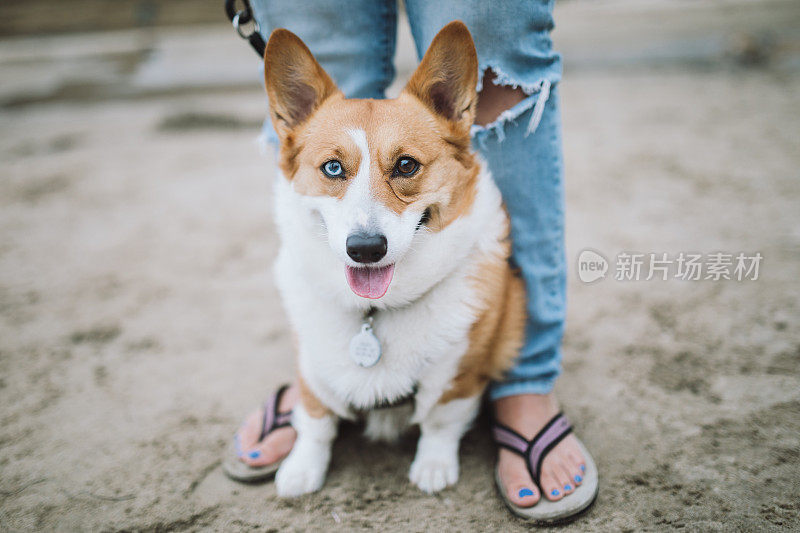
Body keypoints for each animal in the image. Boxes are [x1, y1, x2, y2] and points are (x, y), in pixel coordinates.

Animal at [262, 20, 524, 494]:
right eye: (332, 169)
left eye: (406, 165)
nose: (365, 249)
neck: (374, 313)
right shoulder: (310, 365)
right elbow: (316, 419)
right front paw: (302, 468)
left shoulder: (461, 373)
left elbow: (440, 420)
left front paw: (433, 466)